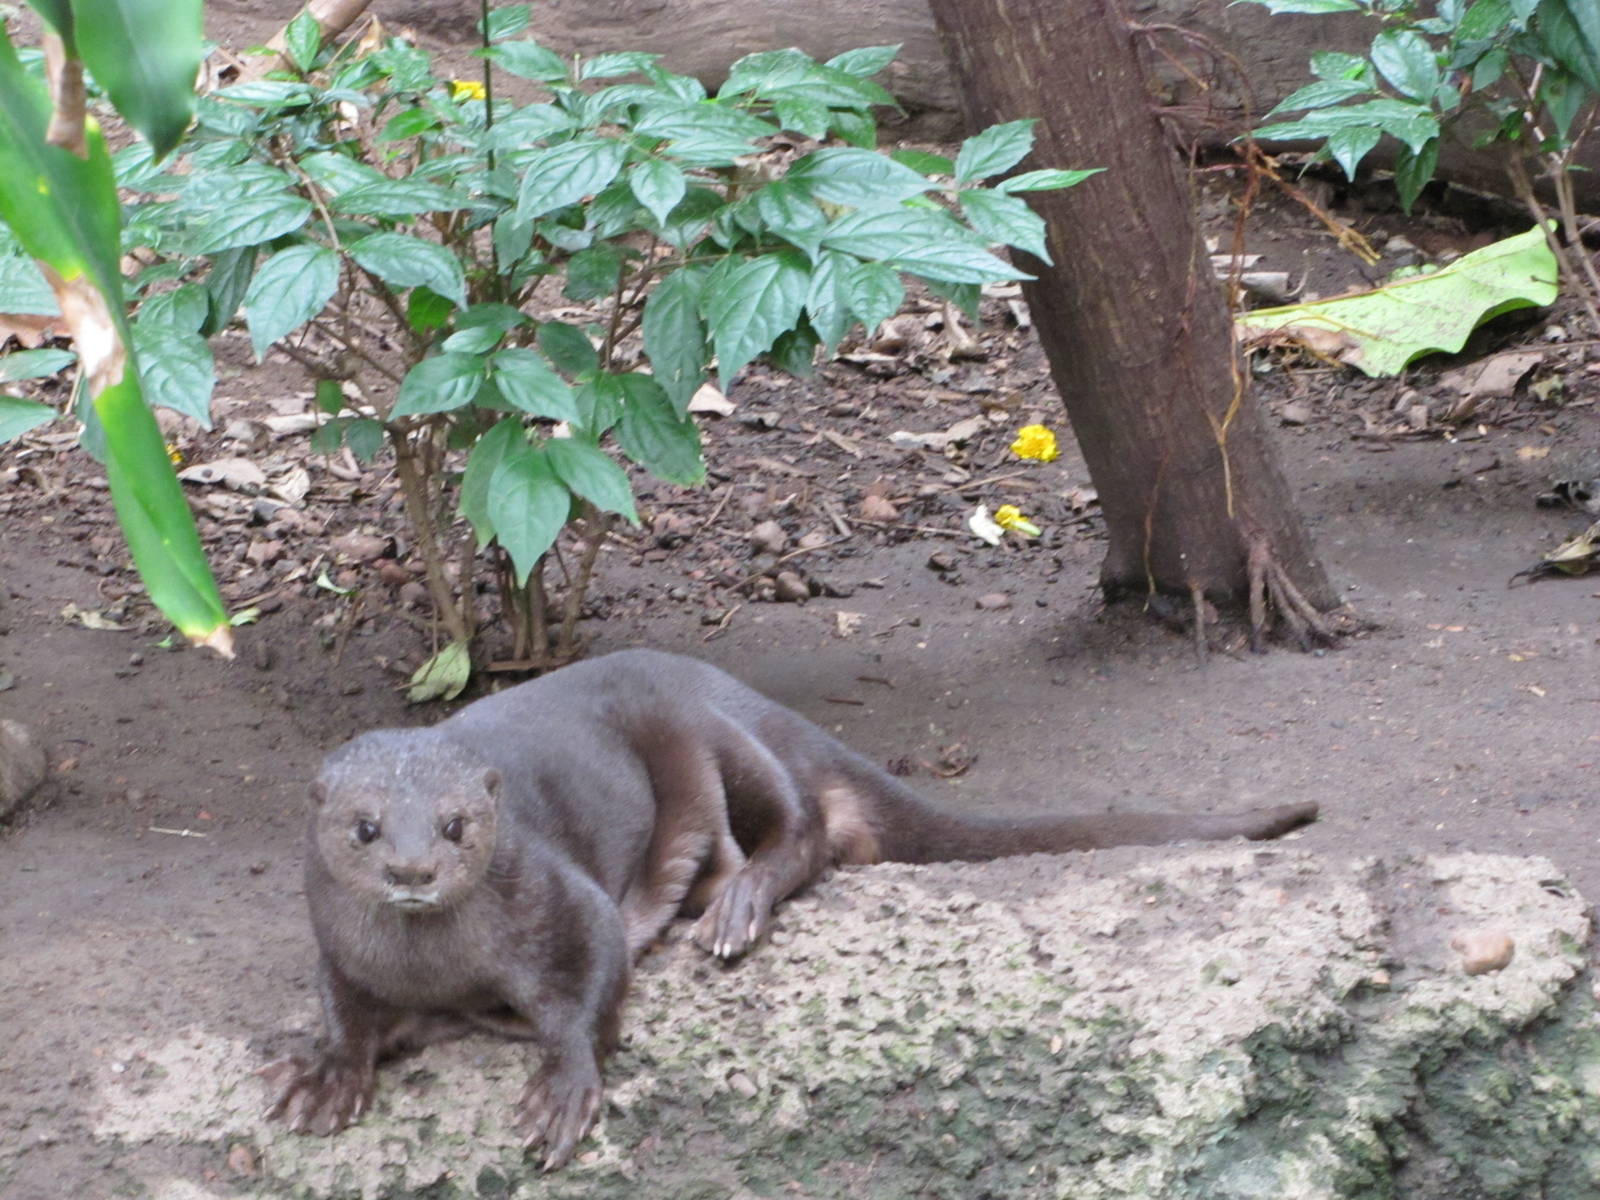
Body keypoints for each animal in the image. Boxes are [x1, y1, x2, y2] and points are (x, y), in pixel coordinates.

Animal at [264, 649, 1316, 1168]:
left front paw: (562, 1088)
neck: (438, 966)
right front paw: (322, 1071)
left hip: (697, 733)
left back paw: (734, 906)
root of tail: (739, 690)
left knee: (803, 828)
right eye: (364, 828)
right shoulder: (336, 950)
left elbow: (591, 981)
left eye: (456, 824)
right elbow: (344, 1008)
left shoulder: (557, 895)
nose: (412, 870)